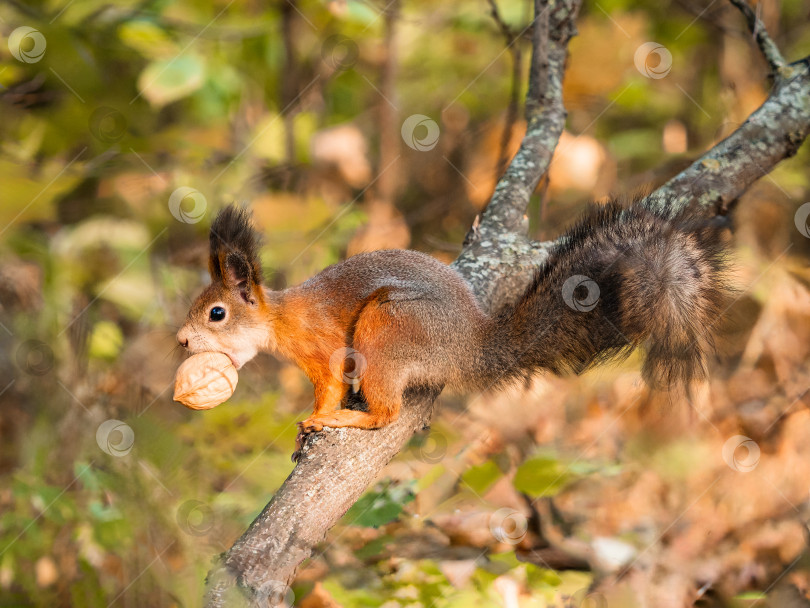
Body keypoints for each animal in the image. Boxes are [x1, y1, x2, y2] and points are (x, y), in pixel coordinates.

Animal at [174, 204, 724, 436]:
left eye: (216, 314)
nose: (180, 340)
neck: (282, 320)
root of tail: (470, 348)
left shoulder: (323, 350)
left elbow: (328, 386)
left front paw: (317, 415)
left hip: (389, 331)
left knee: (387, 412)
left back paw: (353, 417)